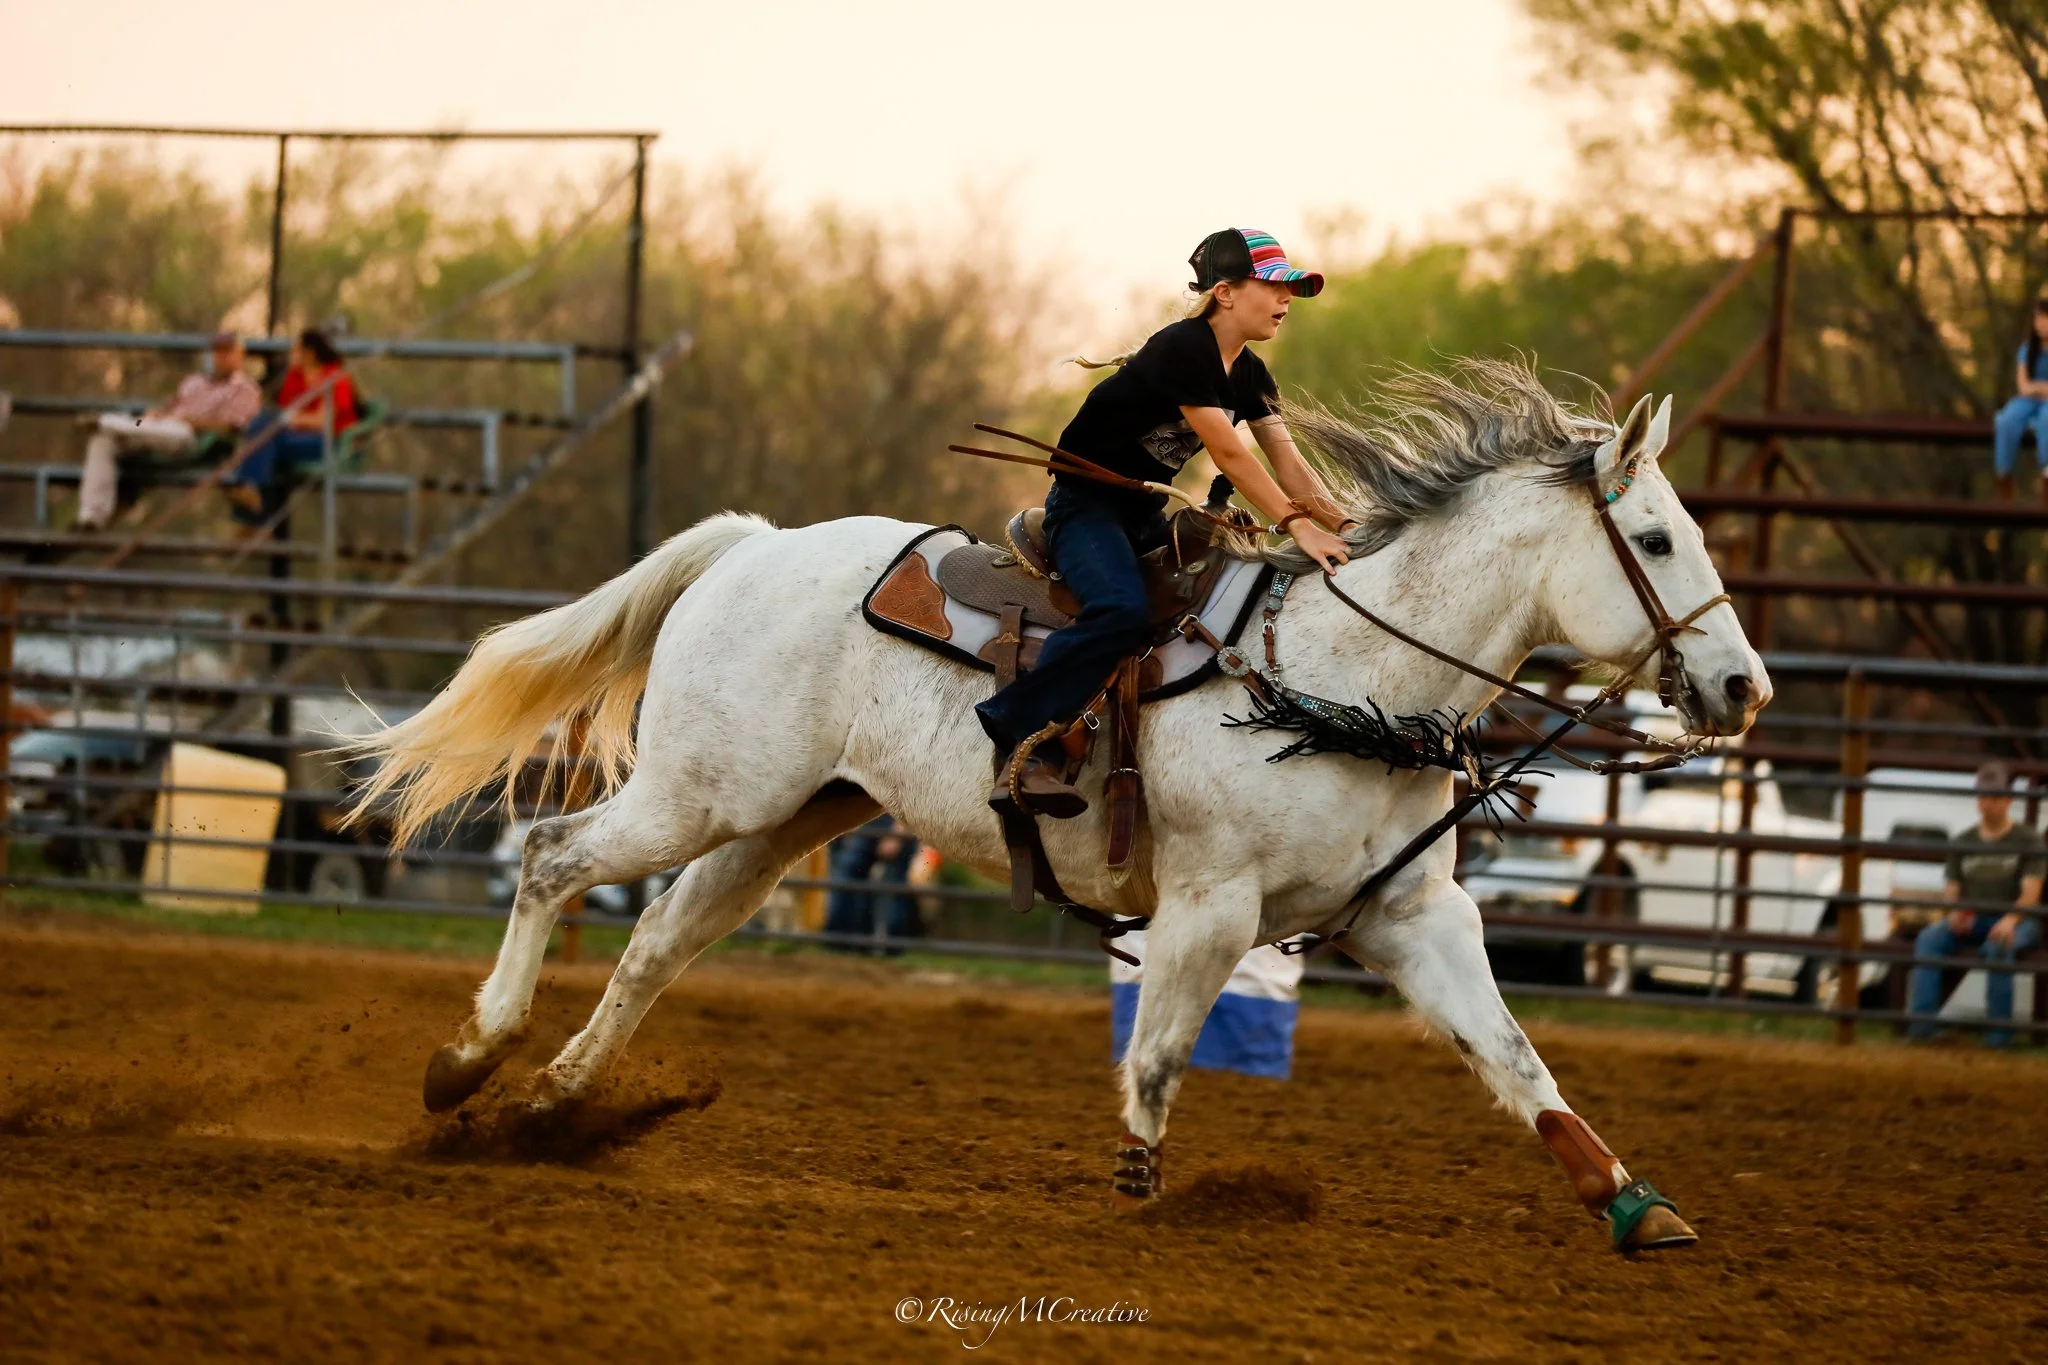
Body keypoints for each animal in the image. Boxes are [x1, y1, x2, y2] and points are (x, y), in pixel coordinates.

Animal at [346, 361, 1769, 1251]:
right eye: (1653, 539)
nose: (1742, 687)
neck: (1341, 677)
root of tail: (752, 544)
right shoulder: (1207, 908)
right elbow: (1159, 1053)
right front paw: (1140, 1192)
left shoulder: (1413, 917)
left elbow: (1517, 1061)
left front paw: (1632, 1205)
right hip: (705, 791)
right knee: (548, 857)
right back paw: (469, 1060)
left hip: (784, 818)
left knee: (652, 944)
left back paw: (553, 1104)